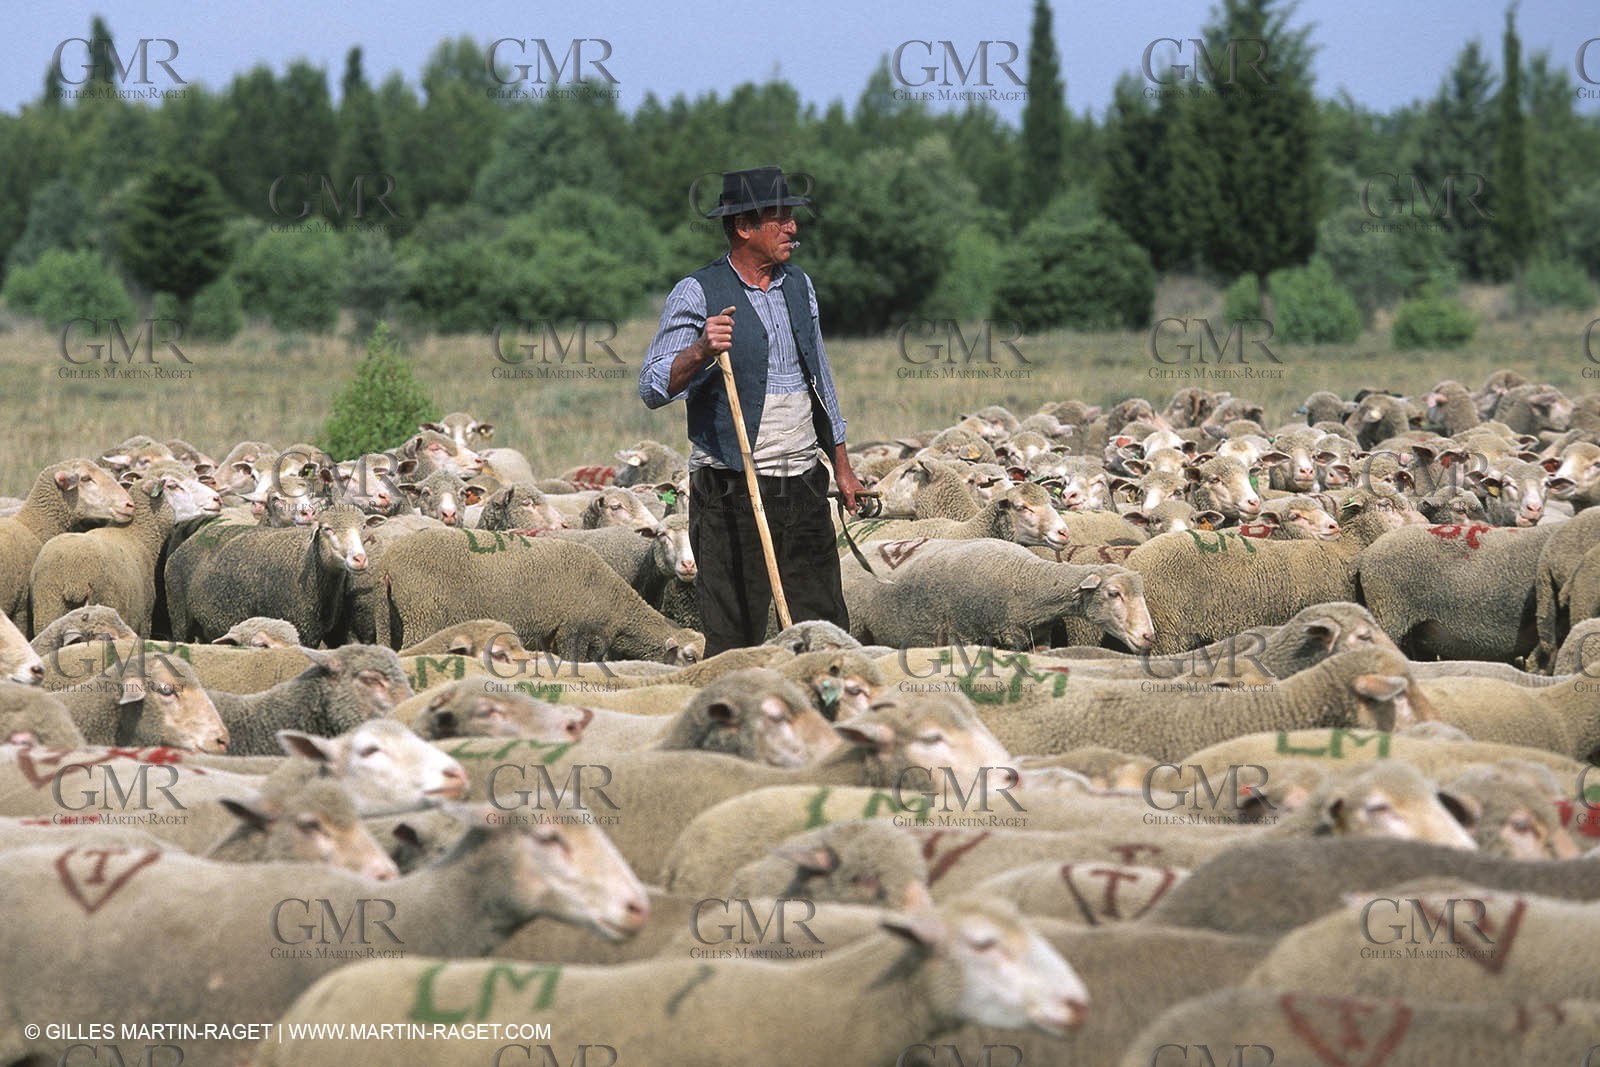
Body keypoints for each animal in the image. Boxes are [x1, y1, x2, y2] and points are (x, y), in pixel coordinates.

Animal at [842, 539, 1153, 652]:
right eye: (1114, 593)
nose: (1149, 636)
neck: (1027, 580)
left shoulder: (1039, 640)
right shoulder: (965, 634)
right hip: (855, 626)